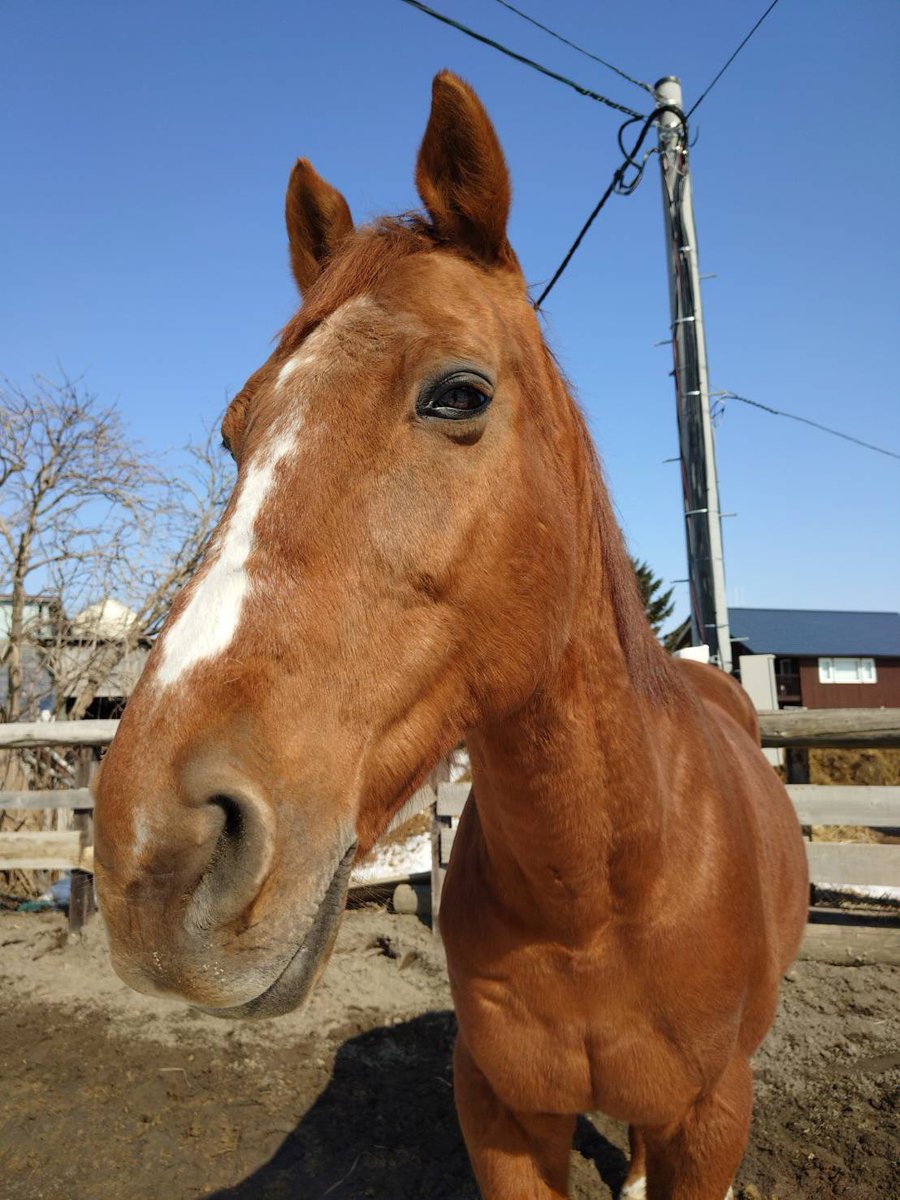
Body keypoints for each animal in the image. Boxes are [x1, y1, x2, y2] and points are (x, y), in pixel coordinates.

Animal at [93, 71, 809, 1200]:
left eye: (458, 394)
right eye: (235, 432)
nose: (153, 855)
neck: (601, 896)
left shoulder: (710, 1120)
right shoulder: (501, 1114)